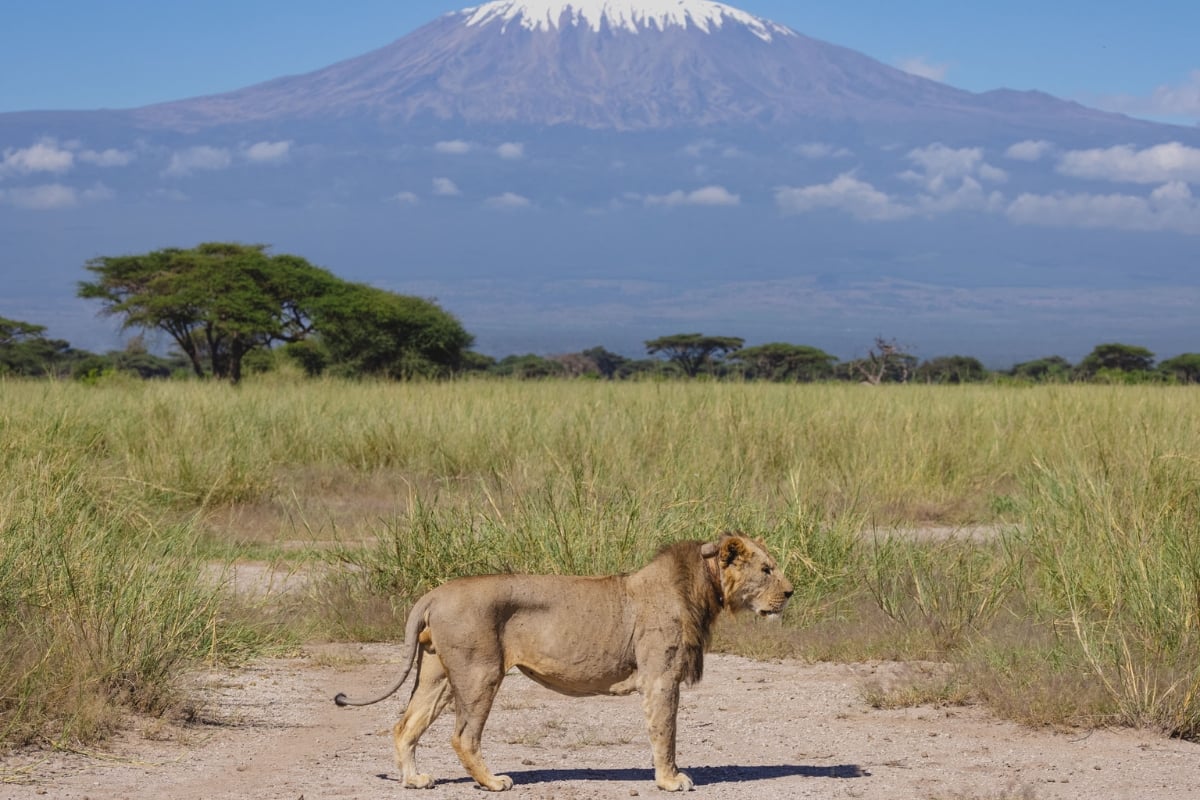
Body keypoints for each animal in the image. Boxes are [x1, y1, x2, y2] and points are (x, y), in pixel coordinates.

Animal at [333, 531, 793, 792]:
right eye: (767, 570)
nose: (791, 592)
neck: (701, 589)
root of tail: (434, 593)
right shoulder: (661, 677)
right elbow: (666, 733)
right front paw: (670, 780)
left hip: (438, 674)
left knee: (405, 725)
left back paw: (414, 780)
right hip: (480, 673)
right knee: (463, 736)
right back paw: (493, 782)